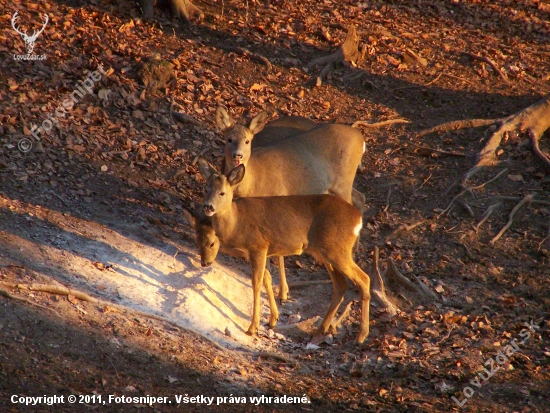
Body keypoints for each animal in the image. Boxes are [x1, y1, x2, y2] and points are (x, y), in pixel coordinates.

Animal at [201, 163, 374, 342]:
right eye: (206, 189)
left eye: (222, 192)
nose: (208, 206)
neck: (236, 222)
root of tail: (358, 219)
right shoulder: (260, 252)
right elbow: (267, 280)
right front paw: (272, 320)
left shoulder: (258, 247)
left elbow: (256, 284)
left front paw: (252, 328)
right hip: (327, 252)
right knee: (341, 285)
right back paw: (320, 330)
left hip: (337, 250)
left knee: (364, 279)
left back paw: (361, 335)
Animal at [215, 105, 366, 300]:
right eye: (229, 139)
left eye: (247, 141)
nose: (237, 155)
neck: (253, 181)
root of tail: (361, 139)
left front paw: (283, 292)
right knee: (360, 197)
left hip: (344, 181)